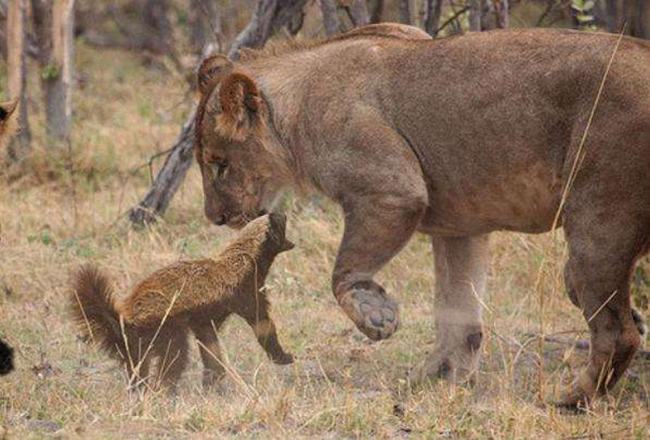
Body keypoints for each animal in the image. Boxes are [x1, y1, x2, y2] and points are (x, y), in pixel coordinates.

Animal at [69, 214, 292, 392]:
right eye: (279, 223)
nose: (282, 212)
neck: (244, 258)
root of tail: (123, 319)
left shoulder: (204, 320)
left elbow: (209, 346)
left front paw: (212, 381)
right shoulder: (246, 293)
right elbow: (263, 326)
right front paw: (284, 357)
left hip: (136, 346)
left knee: (138, 369)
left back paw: (140, 390)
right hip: (166, 329)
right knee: (174, 358)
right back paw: (163, 391)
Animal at [192, 25, 648, 406]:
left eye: (219, 165)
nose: (215, 218)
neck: (295, 110)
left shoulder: (393, 190)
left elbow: (343, 272)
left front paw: (376, 315)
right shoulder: (460, 226)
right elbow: (456, 313)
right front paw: (435, 379)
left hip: (598, 220)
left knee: (618, 331)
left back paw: (571, 398)